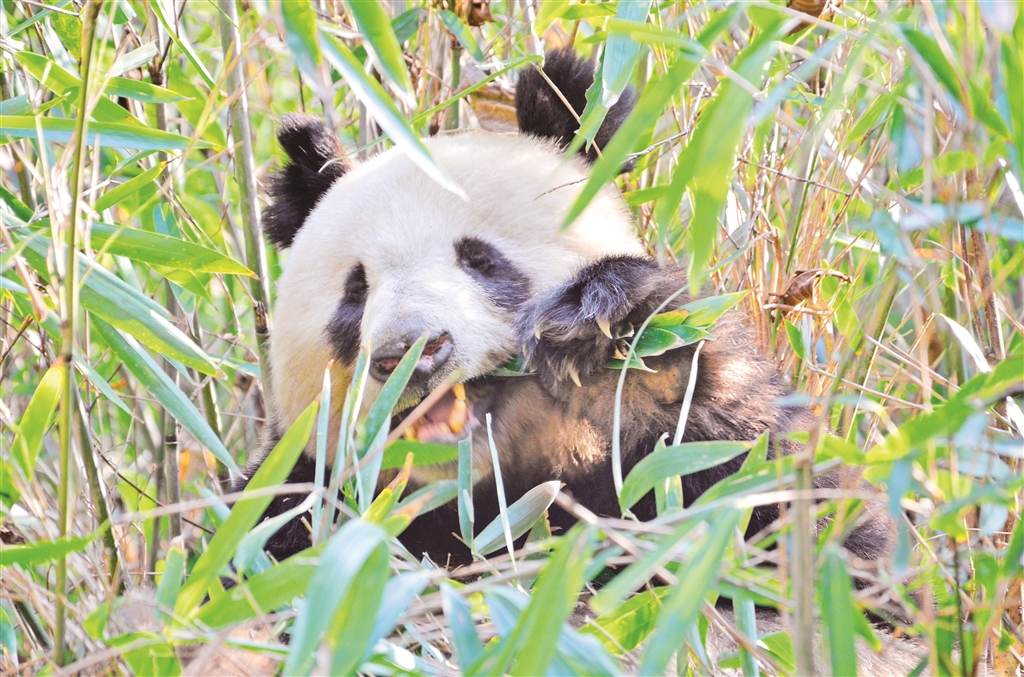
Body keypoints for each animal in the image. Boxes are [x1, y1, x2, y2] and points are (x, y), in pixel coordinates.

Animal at [239, 48, 892, 571]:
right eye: (355, 292)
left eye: (480, 258)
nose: (410, 352)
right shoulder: (302, 491)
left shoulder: (695, 440)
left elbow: (792, 511)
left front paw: (588, 318)